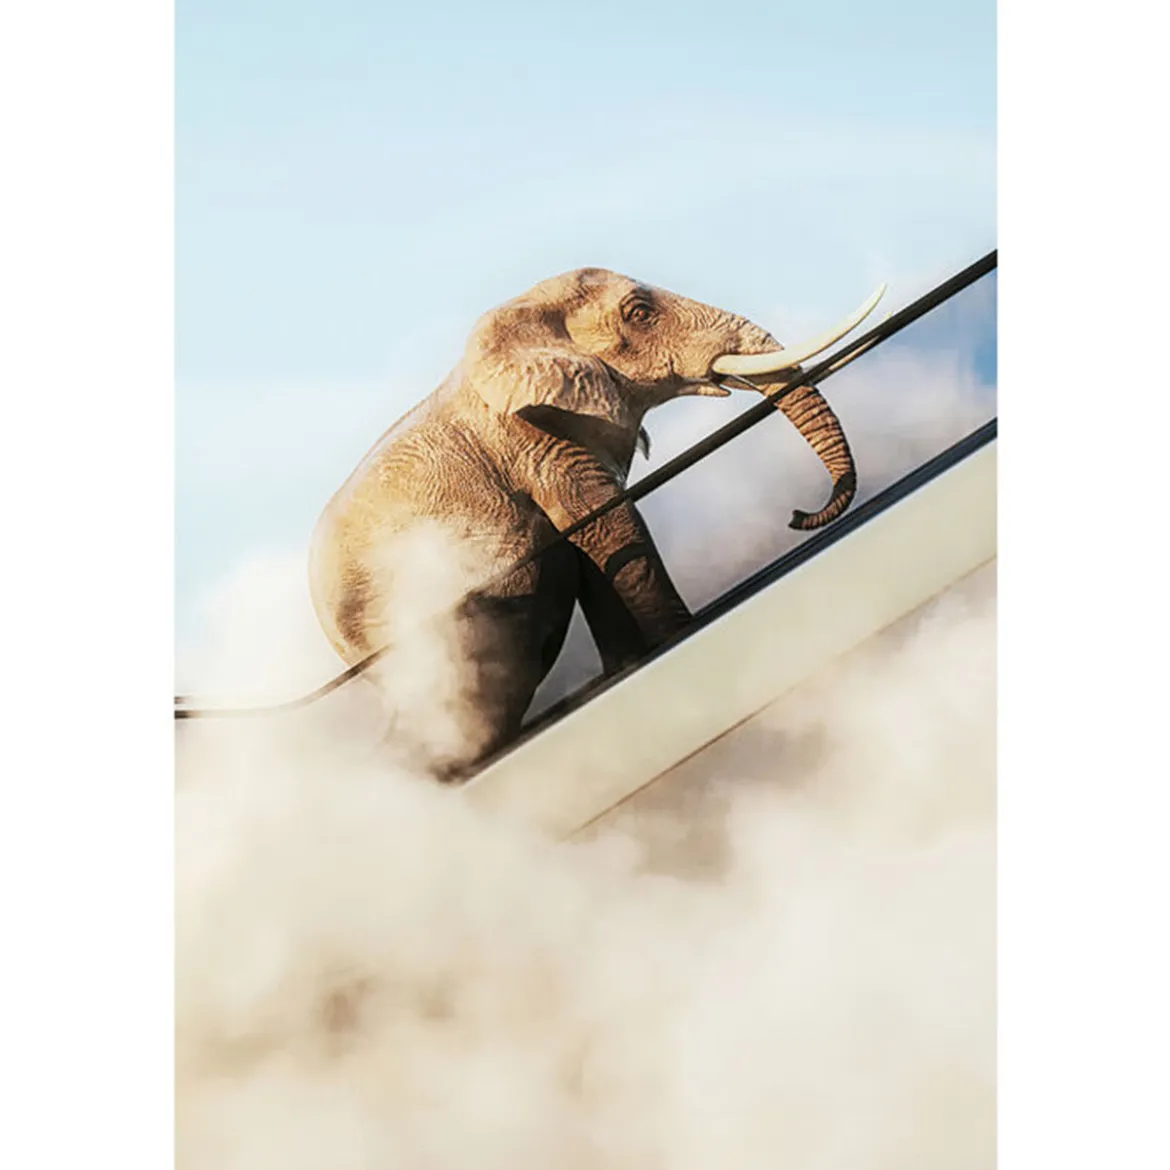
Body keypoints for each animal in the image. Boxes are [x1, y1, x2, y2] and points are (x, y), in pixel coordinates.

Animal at [309, 267, 882, 781]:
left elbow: (596, 549)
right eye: (639, 313)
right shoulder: (536, 441)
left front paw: (630, 665)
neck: (522, 317)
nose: (797, 516)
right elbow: (612, 528)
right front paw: (678, 636)